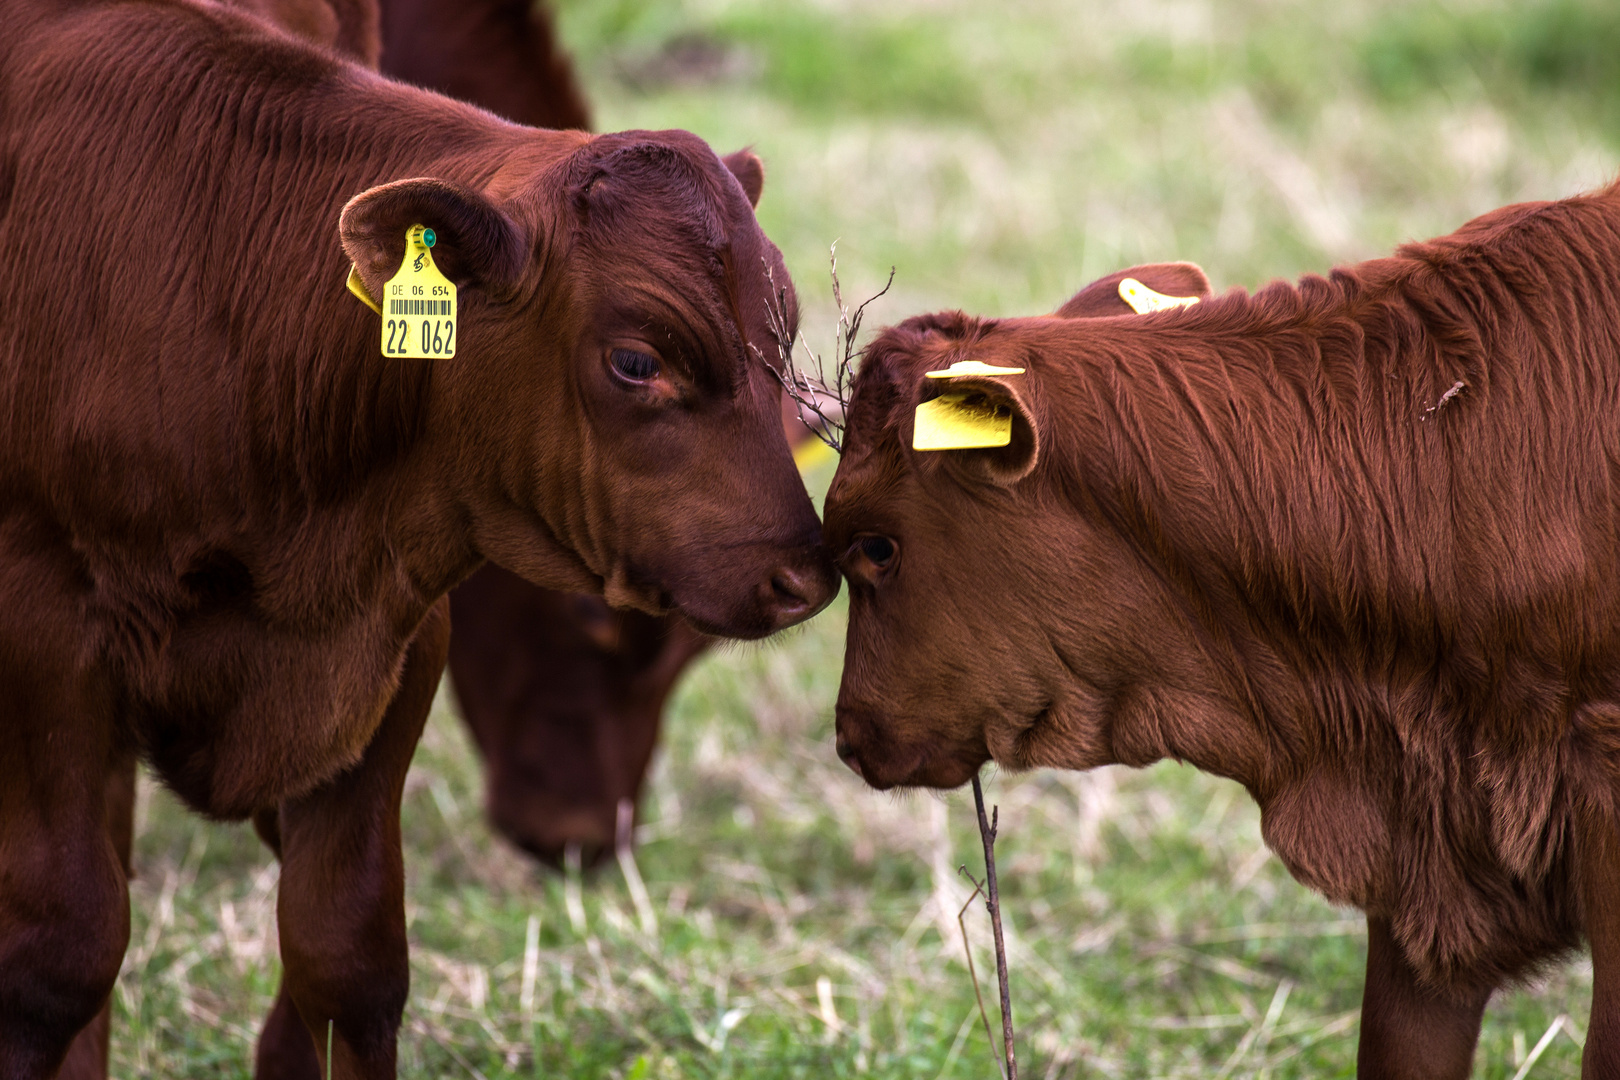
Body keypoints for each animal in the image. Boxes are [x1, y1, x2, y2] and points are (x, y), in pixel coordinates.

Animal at [0, 0, 835, 1075]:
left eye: (782, 339)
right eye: (635, 361)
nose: (802, 575)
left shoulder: (394, 636)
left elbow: (346, 953)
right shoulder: (43, 629)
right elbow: (60, 948)